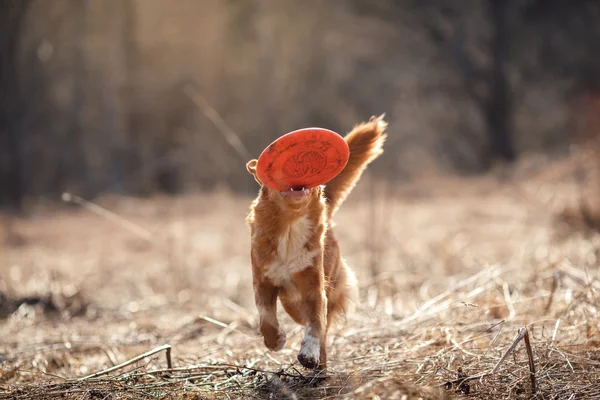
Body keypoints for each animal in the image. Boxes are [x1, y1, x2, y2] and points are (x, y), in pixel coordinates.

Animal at [246, 114, 386, 370]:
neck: (290, 225)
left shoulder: (314, 286)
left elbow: (316, 324)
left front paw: (309, 353)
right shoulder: (263, 281)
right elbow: (266, 317)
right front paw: (275, 340)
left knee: (323, 326)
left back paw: (320, 365)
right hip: (290, 302)